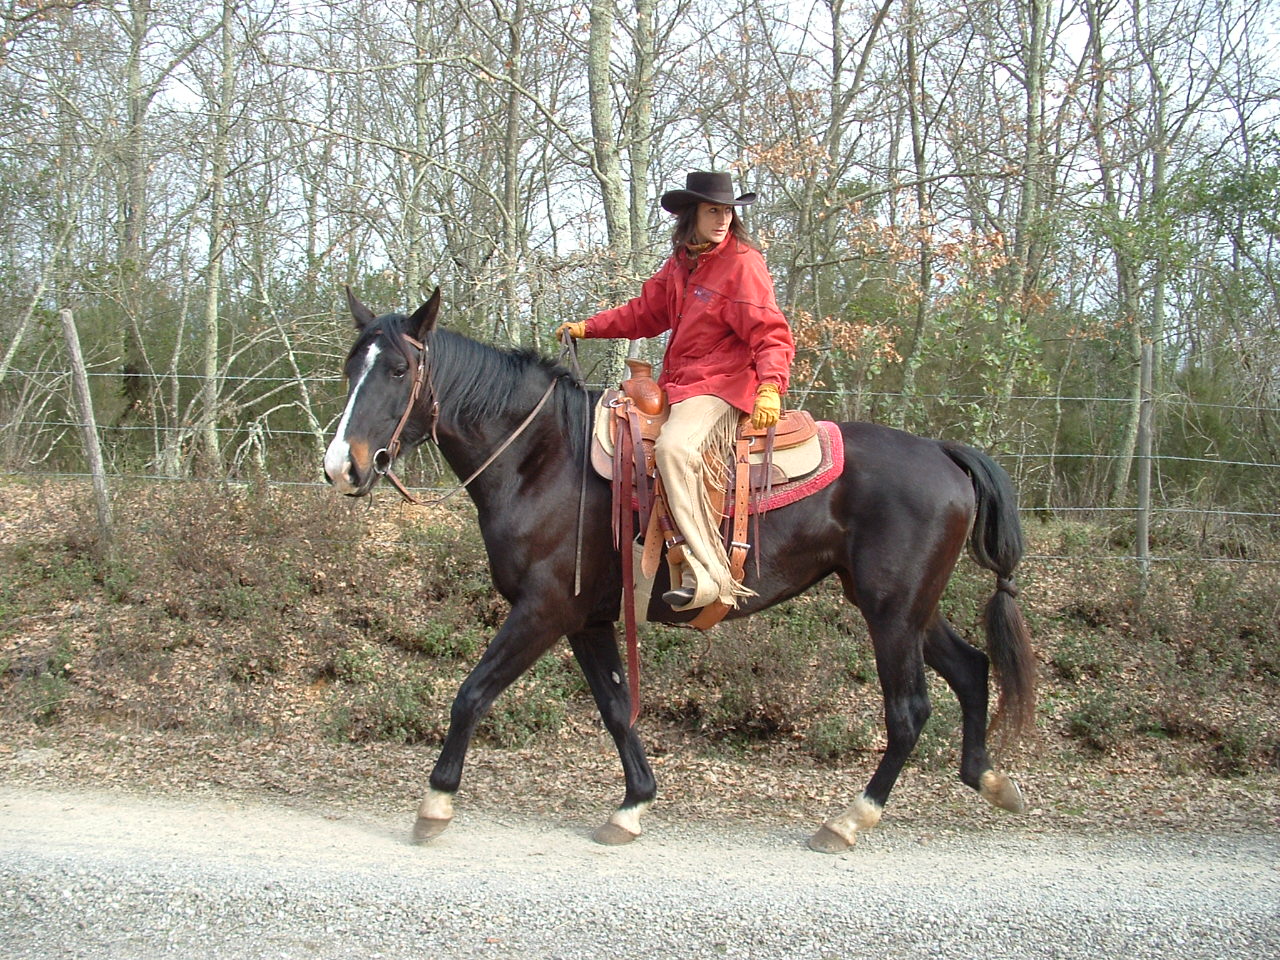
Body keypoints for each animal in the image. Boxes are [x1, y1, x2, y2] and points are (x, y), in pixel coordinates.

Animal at [325, 289, 1034, 855]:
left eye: (398, 368)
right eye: (349, 367)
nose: (341, 466)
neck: (541, 457)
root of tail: (943, 451)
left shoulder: (543, 610)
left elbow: (471, 694)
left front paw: (435, 803)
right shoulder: (585, 619)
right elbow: (617, 709)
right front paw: (633, 804)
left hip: (892, 613)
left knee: (909, 711)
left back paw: (848, 821)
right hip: (906, 607)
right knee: (972, 669)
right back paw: (989, 779)